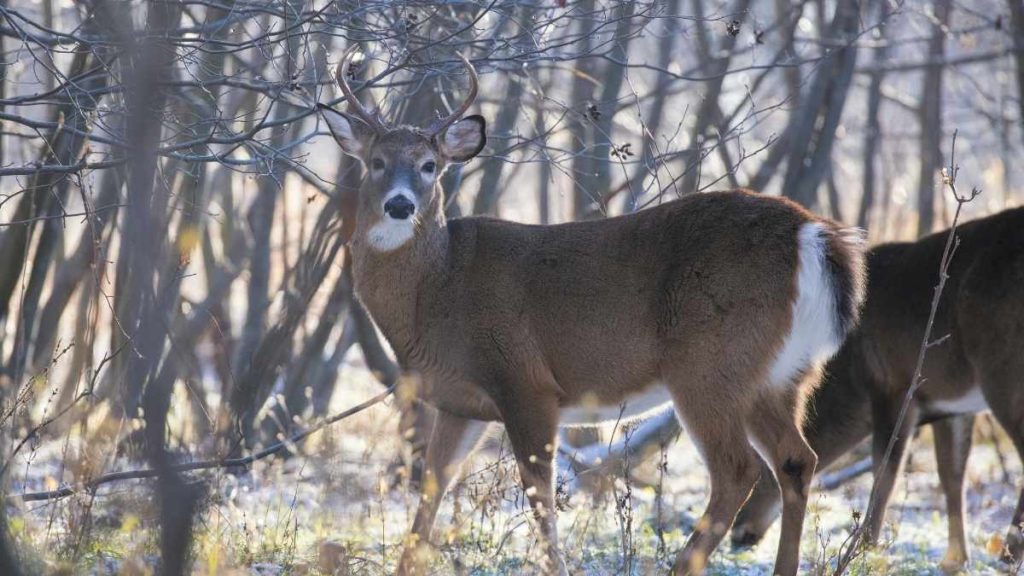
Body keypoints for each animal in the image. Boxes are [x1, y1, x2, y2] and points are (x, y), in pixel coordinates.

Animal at [317, 46, 866, 576]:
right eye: (376, 162)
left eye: (430, 165)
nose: (400, 205)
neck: (436, 291)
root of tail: (813, 235)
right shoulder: (461, 403)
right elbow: (430, 495)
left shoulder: (525, 381)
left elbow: (539, 497)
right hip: (781, 374)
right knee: (797, 459)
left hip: (710, 364)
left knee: (738, 469)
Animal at [730, 206, 1024, 573]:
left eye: (763, 469)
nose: (738, 533)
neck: (851, 382)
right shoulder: (951, 405)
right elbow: (951, 474)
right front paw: (956, 559)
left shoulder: (892, 385)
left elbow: (885, 471)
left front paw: (865, 548)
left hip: (1002, 370)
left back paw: (1009, 553)